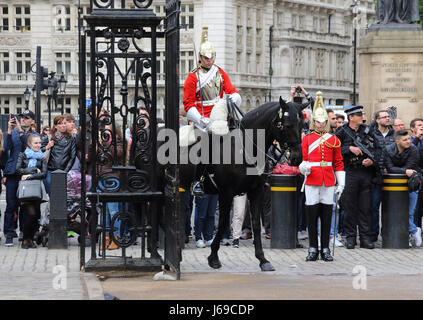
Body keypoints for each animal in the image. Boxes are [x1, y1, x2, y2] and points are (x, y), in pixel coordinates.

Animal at [177, 97, 306, 270]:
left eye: (302, 124)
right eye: (287, 125)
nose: (297, 158)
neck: (245, 148)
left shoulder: (256, 192)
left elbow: (256, 224)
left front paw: (263, 260)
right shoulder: (226, 193)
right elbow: (223, 223)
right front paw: (213, 257)